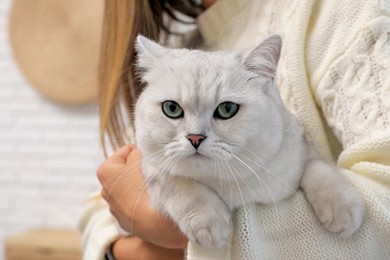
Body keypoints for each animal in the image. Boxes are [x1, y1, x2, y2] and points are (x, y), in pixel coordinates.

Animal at [133, 34, 364, 248]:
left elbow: (318, 166)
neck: (229, 181)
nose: (195, 137)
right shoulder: (149, 165)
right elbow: (174, 181)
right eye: (172, 108)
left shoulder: (301, 144)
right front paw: (208, 222)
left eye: (227, 109)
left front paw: (343, 207)